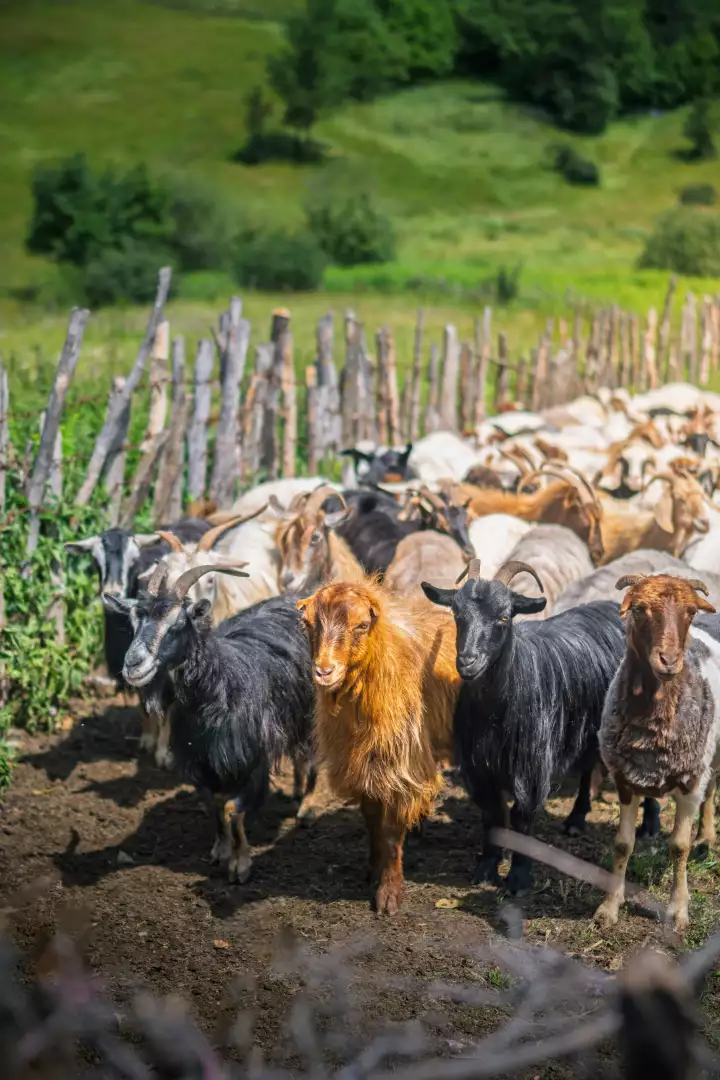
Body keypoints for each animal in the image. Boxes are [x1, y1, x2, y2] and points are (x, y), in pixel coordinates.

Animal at [103, 562, 315, 884]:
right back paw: (297, 793)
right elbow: (216, 804)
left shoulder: (250, 759)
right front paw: (220, 850)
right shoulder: (205, 761)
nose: (133, 664)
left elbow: (234, 809)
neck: (221, 685)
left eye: (177, 623)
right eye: (133, 620)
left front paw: (241, 865)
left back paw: (308, 808)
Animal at [297, 580, 461, 914]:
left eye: (361, 625)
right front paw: (373, 869)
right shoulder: (362, 764)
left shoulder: (400, 767)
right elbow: (371, 819)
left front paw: (389, 895)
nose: (324, 671)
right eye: (307, 623)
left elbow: (391, 833)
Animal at [422, 558, 627, 895]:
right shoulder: (478, 767)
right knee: (587, 765)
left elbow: (522, 818)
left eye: (505, 616)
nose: (467, 662)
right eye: (456, 613)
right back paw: (576, 819)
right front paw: (487, 868)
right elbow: (492, 816)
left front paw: (518, 879)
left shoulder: (531, 765)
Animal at [595, 574, 720, 933]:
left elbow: (678, 847)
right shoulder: (624, 780)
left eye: (691, 611)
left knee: (712, 790)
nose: (668, 661)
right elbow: (622, 845)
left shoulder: (691, 782)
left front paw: (678, 911)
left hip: (711, 755)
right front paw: (609, 907)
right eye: (638, 609)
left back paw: (707, 837)